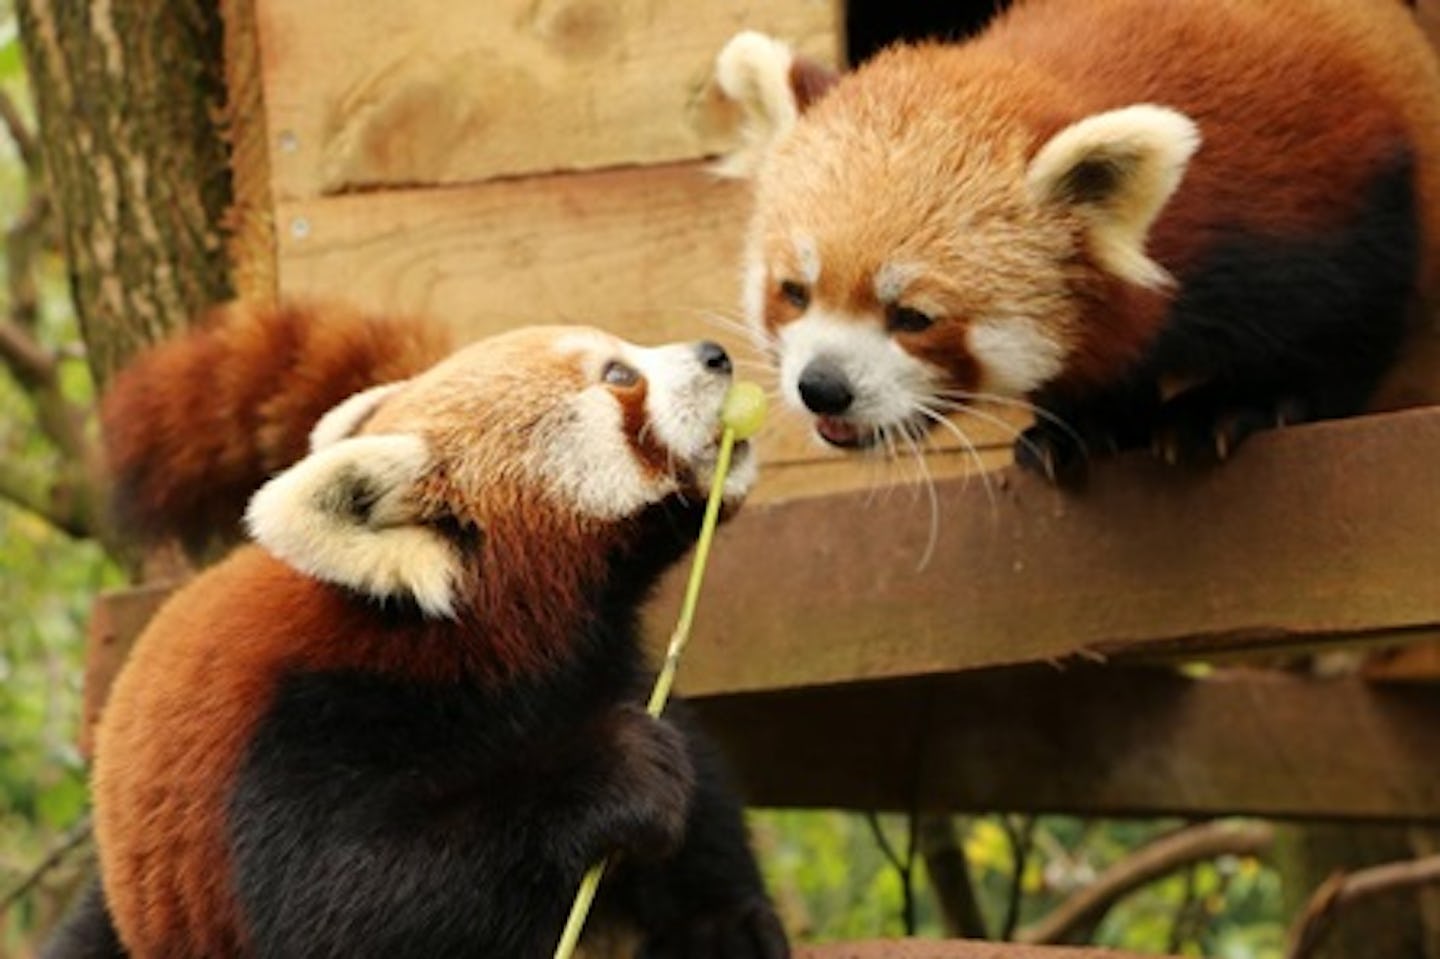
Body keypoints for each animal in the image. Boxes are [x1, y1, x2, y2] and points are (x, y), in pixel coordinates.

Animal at [50, 302, 789, 956]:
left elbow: (702, 787)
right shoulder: (304, 725)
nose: (715, 355)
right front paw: (613, 771)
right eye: (618, 374)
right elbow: (348, 907)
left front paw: (722, 923)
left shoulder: (603, 661)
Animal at [714, 0, 1440, 478]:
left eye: (914, 317)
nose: (822, 386)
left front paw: (1232, 404)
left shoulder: (1327, 201)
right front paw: (1087, 425)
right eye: (795, 291)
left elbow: (1345, 330)